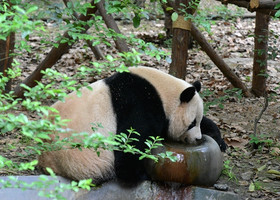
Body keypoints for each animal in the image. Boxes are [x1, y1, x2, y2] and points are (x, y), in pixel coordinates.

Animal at [37, 67, 203, 184]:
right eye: (192, 123)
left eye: (198, 121)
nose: (198, 139)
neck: (161, 91)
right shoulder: (139, 102)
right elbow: (130, 144)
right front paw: (143, 176)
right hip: (81, 160)